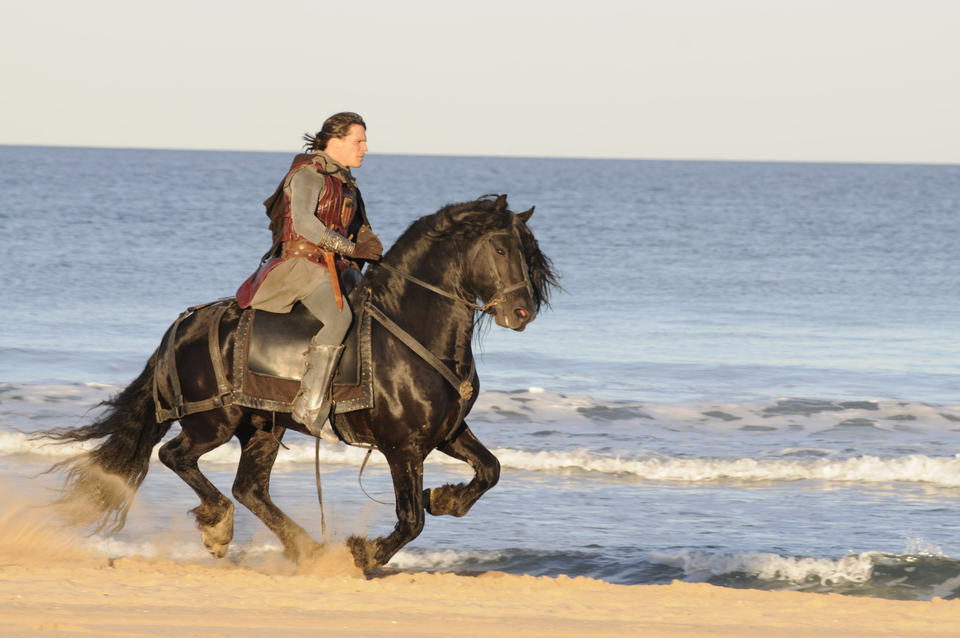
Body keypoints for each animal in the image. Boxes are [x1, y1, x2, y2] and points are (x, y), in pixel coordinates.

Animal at [41, 195, 560, 568]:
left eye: (528, 253)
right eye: (500, 248)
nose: (523, 313)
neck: (410, 326)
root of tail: (184, 324)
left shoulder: (447, 432)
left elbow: (489, 470)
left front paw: (447, 498)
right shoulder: (403, 447)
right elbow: (411, 519)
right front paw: (365, 552)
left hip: (262, 428)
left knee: (249, 488)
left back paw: (304, 547)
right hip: (213, 422)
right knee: (176, 457)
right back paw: (219, 528)